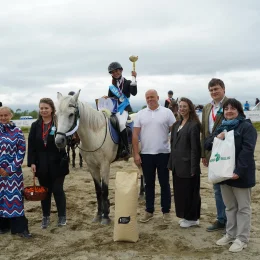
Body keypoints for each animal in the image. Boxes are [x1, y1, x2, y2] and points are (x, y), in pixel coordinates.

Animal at [55, 90, 118, 224]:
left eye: (71, 114)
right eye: (56, 115)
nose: (59, 141)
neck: (95, 134)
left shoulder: (105, 165)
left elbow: (105, 190)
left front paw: (106, 217)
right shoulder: (92, 167)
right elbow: (98, 190)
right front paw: (99, 215)